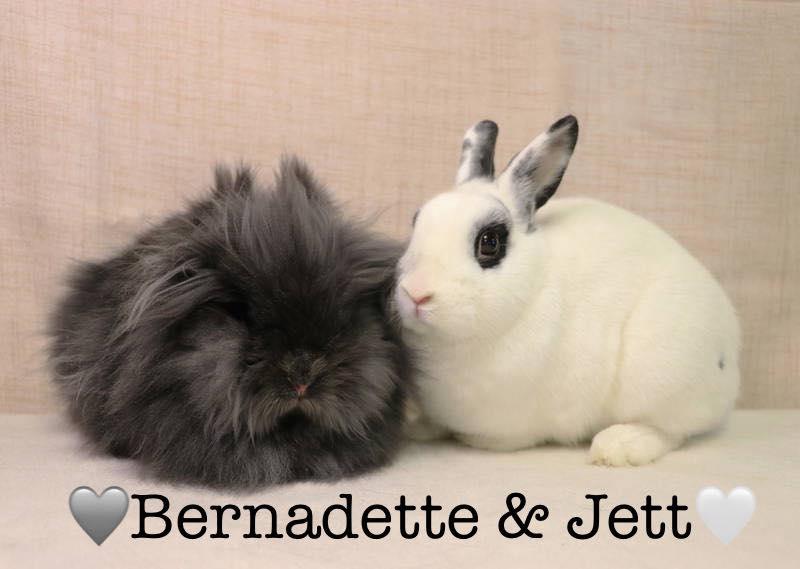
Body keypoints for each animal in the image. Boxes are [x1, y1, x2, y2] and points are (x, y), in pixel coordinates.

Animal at [396, 116, 740, 466]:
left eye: (489, 242)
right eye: (416, 222)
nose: (416, 293)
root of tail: (731, 355)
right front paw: (418, 427)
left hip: (660, 377)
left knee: (671, 430)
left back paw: (617, 446)